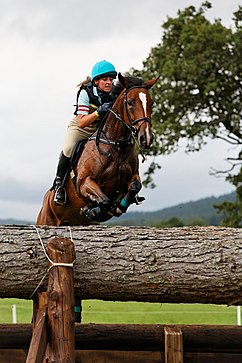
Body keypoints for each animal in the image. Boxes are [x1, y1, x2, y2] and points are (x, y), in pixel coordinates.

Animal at [36, 73, 159, 228]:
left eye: (151, 103)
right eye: (130, 103)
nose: (146, 138)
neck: (118, 145)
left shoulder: (133, 176)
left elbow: (135, 186)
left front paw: (118, 206)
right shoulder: (84, 182)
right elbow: (104, 201)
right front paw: (94, 210)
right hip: (46, 220)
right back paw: (60, 194)